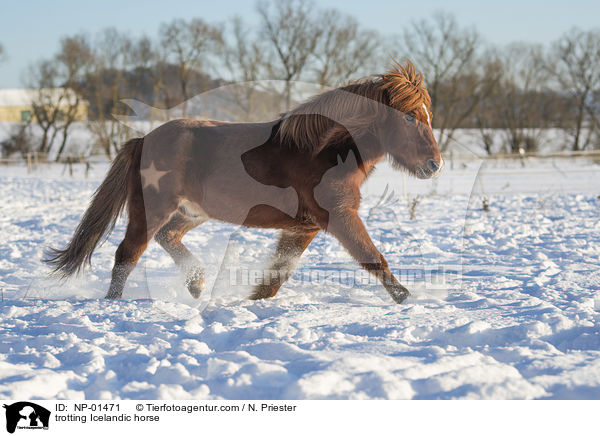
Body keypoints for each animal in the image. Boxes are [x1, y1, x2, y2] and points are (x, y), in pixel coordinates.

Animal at [45, 60, 440, 304]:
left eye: (429, 116)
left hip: (192, 212)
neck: (322, 152)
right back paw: (113, 305)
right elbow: (373, 258)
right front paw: (405, 298)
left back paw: (197, 284)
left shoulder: (304, 227)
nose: (434, 165)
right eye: (409, 117)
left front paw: (251, 302)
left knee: (167, 237)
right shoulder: (340, 217)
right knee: (127, 254)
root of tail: (143, 140)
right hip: (151, 209)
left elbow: (278, 274)